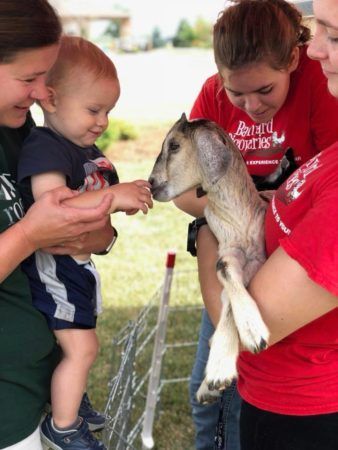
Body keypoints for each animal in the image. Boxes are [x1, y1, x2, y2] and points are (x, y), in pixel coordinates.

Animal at [149, 114, 294, 402]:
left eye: (174, 145)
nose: (150, 184)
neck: (239, 219)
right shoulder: (229, 251)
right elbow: (224, 272)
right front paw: (213, 379)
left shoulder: (259, 258)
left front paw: (250, 335)